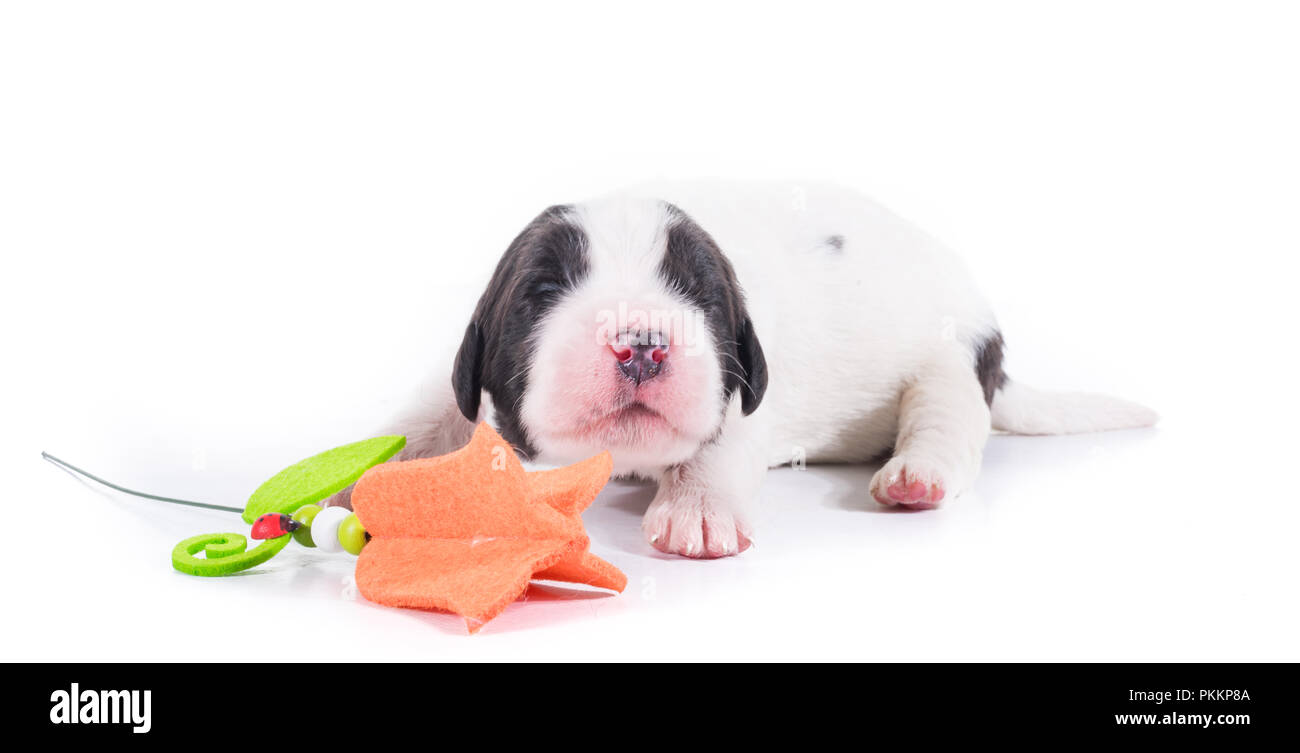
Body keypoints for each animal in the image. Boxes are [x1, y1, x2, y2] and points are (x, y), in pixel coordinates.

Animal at [338, 180, 1159, 559]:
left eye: (698, 293)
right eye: (543, 291)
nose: (643, 342)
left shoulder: (740, 387)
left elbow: (719, 441)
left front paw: (696, 508)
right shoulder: (451, 389)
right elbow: (426, 413)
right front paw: (360, 476)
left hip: (950, 354)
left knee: (948, 421)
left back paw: (915, 478)